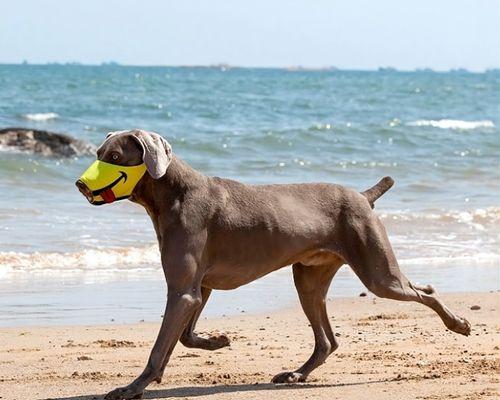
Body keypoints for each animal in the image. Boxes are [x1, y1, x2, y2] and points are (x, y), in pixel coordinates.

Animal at [76, 130, 470, 400]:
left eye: (114, 155)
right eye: (97, 153)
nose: (80, 183)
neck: (172, 193)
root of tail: (362, 196)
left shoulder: (183, 289)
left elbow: (160, 348)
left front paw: (132, 387)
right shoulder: (198, 287)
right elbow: (183, 336)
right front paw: (218, 340)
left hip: (377, 272)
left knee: (424, 291)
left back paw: (459, 324)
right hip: (309, 277)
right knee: (327, 340)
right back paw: (297, 374)